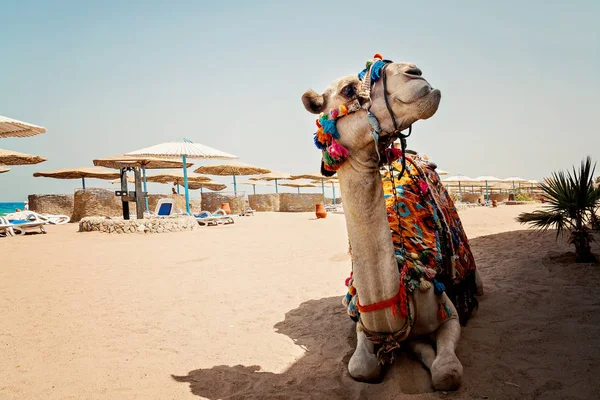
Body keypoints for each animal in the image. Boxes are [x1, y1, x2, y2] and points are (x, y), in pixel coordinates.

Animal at [300, 54, 482, 390]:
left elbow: (446, 372)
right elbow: (361, 367)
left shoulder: (447, 312)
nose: (415, 73)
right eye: (348, 90)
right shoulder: (363, 324)